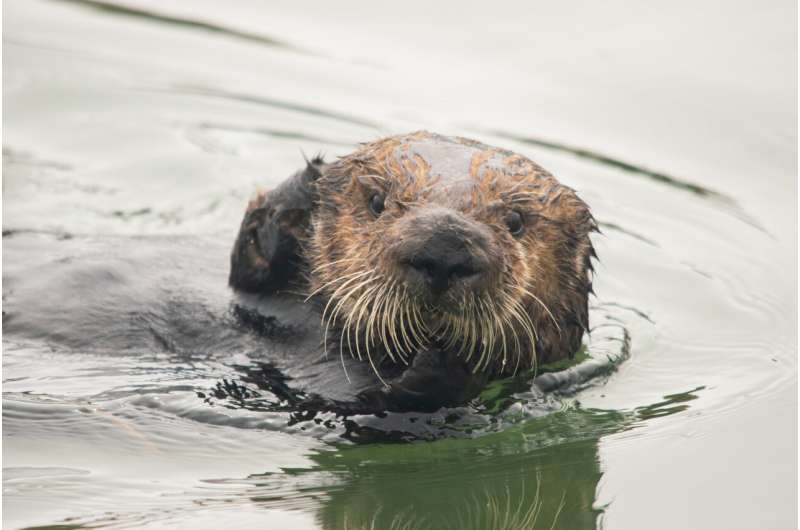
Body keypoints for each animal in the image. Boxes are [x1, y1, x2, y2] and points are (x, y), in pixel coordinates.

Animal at [227, 132, 592, 412]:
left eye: (515, 221)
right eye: (376, 202)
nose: (445, 247)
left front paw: (446, 361)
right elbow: (249, 263)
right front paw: (309, 182)